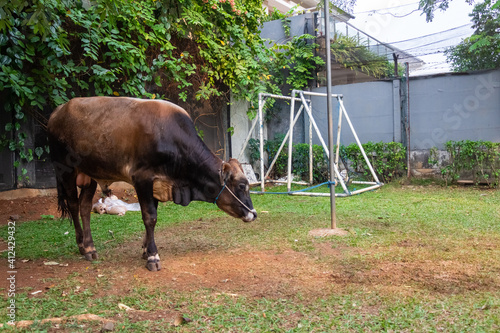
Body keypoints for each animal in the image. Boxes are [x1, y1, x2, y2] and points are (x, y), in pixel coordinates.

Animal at [47, 96, 258, 270]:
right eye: (241, 186)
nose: (254, 214)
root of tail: (58, 111)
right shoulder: (142, 179)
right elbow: (150, 217)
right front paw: (153, 257)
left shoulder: (156, 185)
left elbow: (152, 218)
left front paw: (145, 249)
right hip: (65, 170)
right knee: (73, 205)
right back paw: (83, 246)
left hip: (89, 175)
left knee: (84, 207)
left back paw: (90, 246)